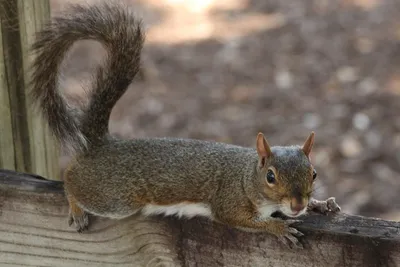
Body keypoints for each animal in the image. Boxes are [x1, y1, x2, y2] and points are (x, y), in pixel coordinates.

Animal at [29, 1, 340, 249]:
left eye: (313, 174)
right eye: (271, 177)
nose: (298, 204)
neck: (246, 176)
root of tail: (102, 144)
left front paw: (319, 204)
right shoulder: (229, 202)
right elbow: (241, 220)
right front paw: (278, 227)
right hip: (115, 199)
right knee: (71, 180)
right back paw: (76, 207)